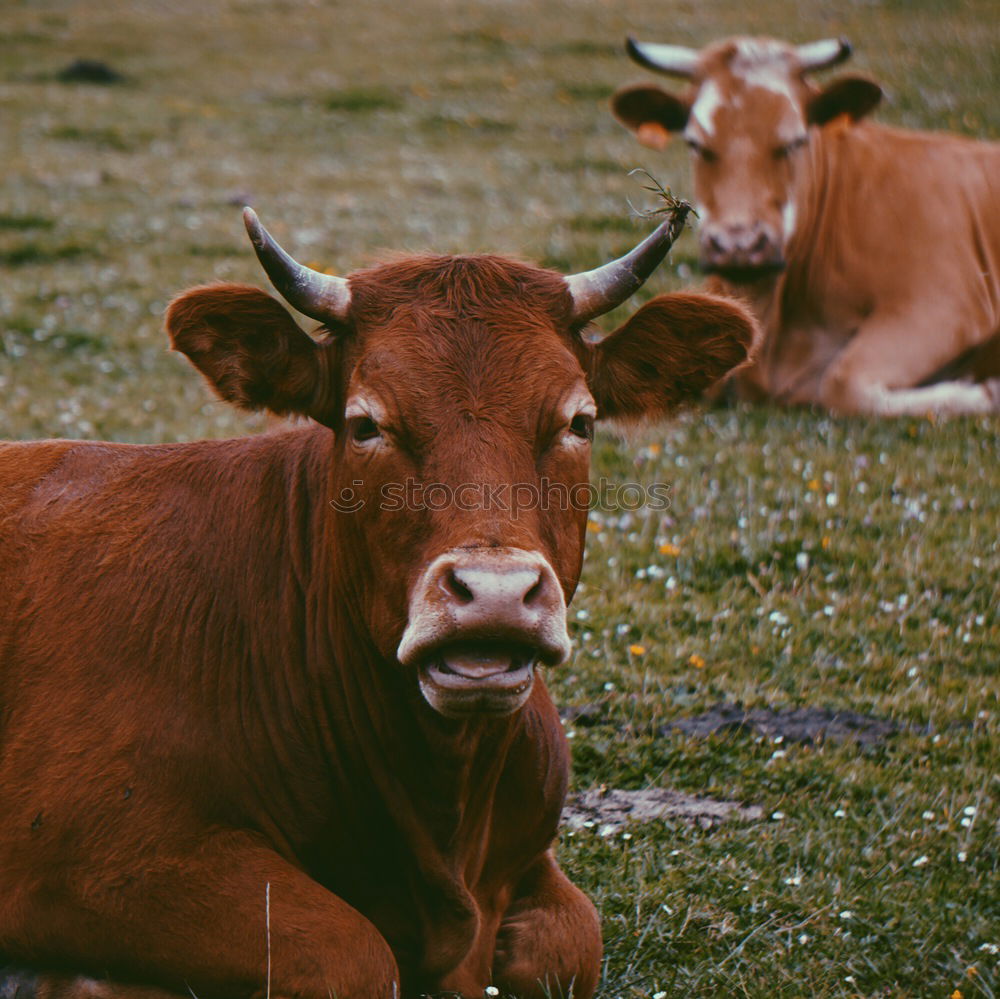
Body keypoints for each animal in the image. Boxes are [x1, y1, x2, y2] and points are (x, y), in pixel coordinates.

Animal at [0, 211, 756, 999]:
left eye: (579, 421)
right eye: (366, 424)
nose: (494, 594)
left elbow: (572, 941)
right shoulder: (103, 855)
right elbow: (352, 954)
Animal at [608, 35, 1000, 416]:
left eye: (794, 141)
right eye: (695, 143)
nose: (739, 246)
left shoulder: (946, 306)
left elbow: (842, 383)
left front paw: (982, 393)